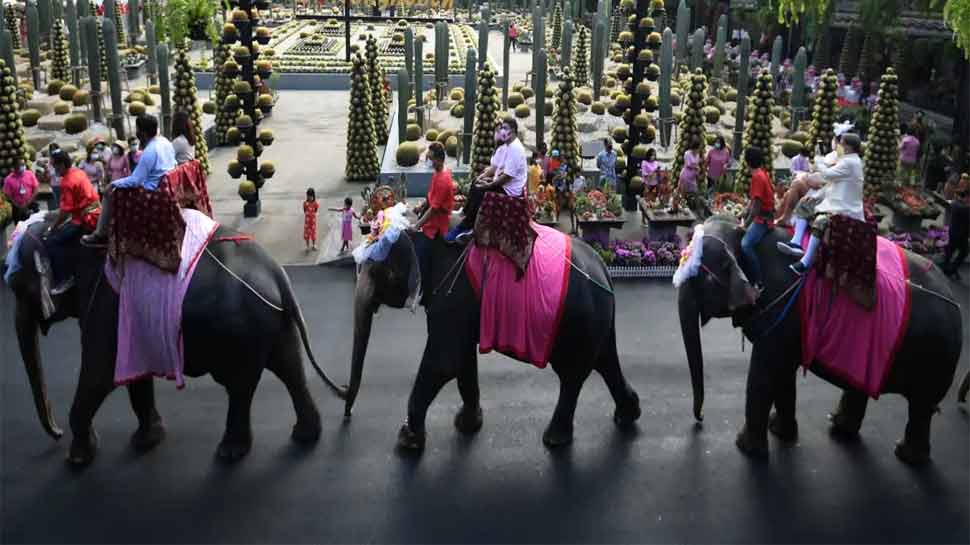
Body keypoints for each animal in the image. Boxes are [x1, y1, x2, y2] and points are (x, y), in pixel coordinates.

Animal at [2, 219, 344, 466]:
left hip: (242, 330)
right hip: (273, 321)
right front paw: (146, 441)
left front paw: (77, 460)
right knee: (290, 369)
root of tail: (277, 274)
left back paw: (230, 452)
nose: (56, 434)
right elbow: (135, 375)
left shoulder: (105, 309)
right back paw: (305, 436)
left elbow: (98, 376)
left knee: (240, 385)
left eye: (18, 287)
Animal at [340, 232, 644, 448]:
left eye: (381, 272)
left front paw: (407, 441)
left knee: (572, 376)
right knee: (605, 361)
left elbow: (443, 362)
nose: (347, 414)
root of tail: (604, 269)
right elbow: (461, 360)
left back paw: (554, 440)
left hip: (577, 323)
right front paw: (467, 424)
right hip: (595, 321)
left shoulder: (453, 297)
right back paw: (628, 414)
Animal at [672, 217, 960, 464]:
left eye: (701, 277)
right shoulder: (790, 328)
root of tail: (955, 301)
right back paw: (840, 425)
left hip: (933, 361)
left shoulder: (781, 314)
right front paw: (780, 431)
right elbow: (782, 374)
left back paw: (905, 455)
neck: (744, 235)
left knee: (921, 408)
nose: (701, 419)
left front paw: (746, 448)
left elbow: (764, 374)